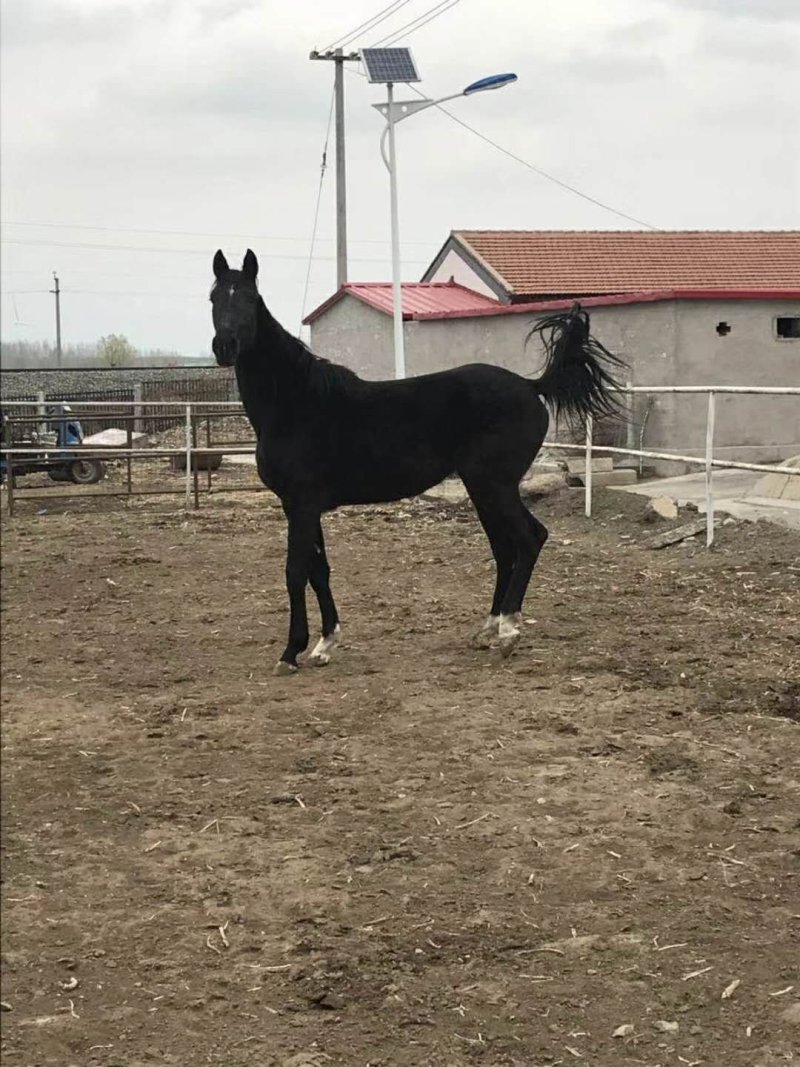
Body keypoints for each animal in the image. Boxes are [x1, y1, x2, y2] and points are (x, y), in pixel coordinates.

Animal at [210, 249, 625, 675]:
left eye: (248, 299)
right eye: (214, 298)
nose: (224, 346)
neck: (296, 403)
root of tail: (530, 386)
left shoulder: (302, 505)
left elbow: (295, 573)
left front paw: (291, 652)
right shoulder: (300, 506)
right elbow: (318, 571)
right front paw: (325, 644)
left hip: (494, 485)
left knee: (529, 539)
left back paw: (509, 630)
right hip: (483, 489)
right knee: (504, 549)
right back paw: (488, 629)